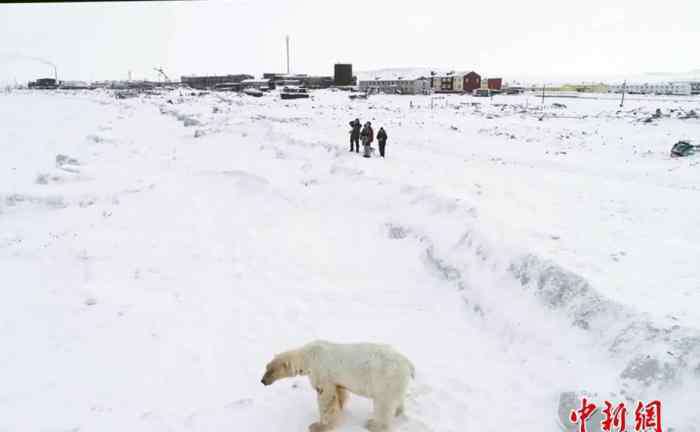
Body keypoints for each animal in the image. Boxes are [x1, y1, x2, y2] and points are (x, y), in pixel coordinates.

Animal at [262, 340, 416, 430]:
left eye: (270, 370)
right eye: (266, 367)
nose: (262, 381)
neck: (308, 356)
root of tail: (408, 363)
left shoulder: (321, 371)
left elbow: (326, 397)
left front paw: (317, 426)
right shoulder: (335, 379)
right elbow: (339, 391)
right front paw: (341, 409)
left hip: (385, 377)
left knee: (383, 404)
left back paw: (373, 424)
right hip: (396, 381)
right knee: (396, 399)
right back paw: (397, 413)